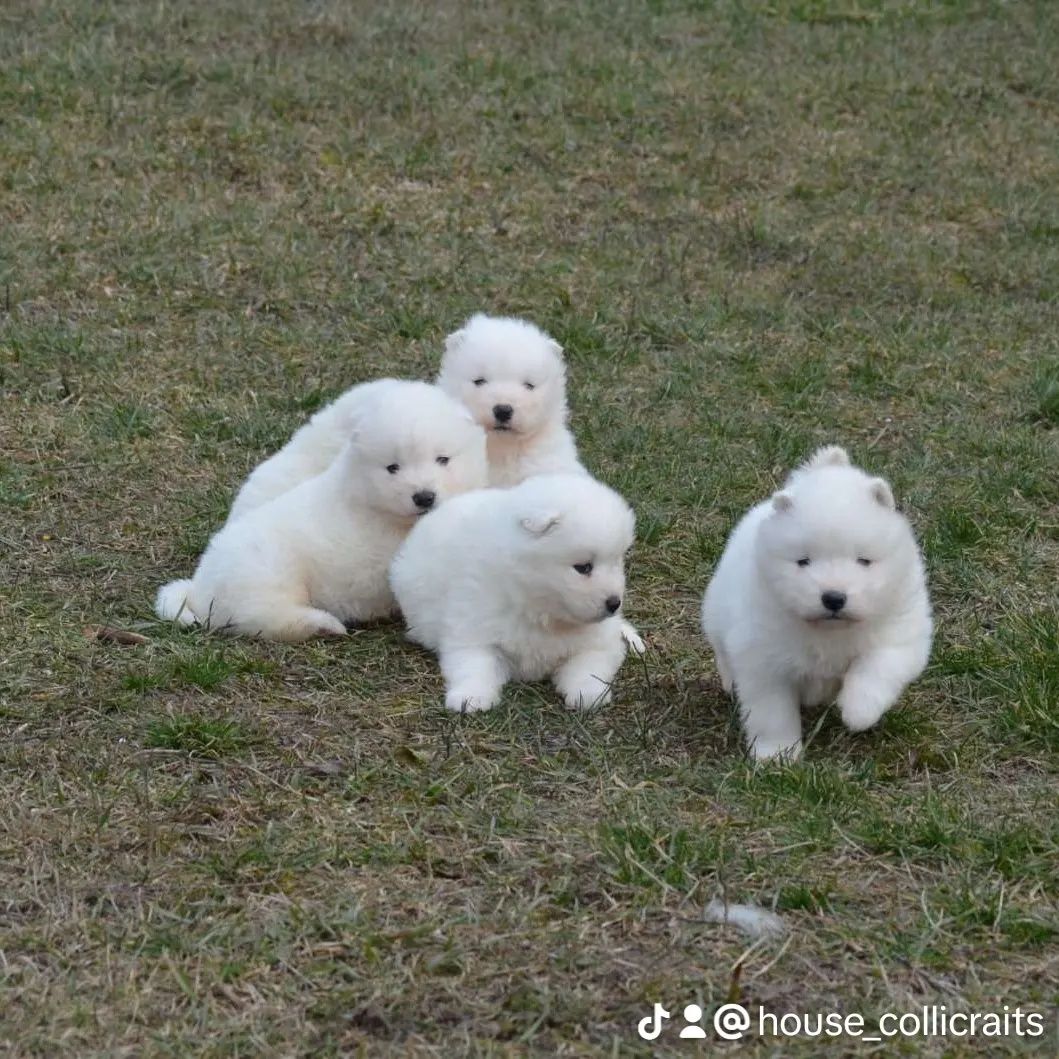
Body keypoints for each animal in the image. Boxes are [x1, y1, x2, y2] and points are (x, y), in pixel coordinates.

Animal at [154, 385, 485, 639]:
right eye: (393, 468)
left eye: (443, 459)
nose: (424, 497)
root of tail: (198, 587)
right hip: (265, 574)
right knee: (267, 617)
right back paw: (324, 624)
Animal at [391, 476, 631, 715]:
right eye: (583, 567)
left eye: (617, 561)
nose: (614, 604)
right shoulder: (473, 626)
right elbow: (474, 664)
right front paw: (471, 696)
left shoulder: (600, 641)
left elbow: (589, 666)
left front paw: (588, 693)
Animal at [707, 446, 931, 762]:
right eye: (804, 561)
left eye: (864, 560)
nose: (834, 597)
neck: (829, 632)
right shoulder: (764, 661)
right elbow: (773, 714)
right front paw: (777, 756)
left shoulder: (899, 633)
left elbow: (876, 668)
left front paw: (857, 712)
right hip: (716, 613)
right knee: (722, 651)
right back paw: (729, 682)